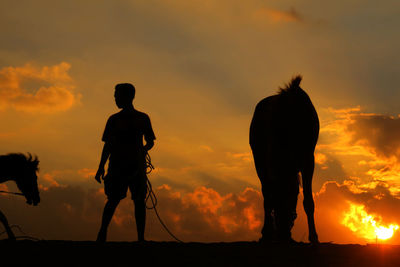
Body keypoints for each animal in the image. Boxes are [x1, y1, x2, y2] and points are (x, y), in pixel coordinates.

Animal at [250, 76, 318, 245]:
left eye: (291, 198)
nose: (283, 235)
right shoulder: (262, 163)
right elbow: (267, 197)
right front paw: (266, 233)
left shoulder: (308, 160)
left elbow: (308, 201)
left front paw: (314, 237)